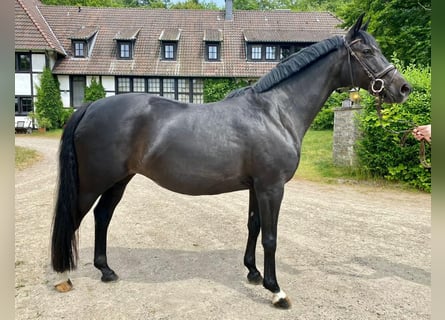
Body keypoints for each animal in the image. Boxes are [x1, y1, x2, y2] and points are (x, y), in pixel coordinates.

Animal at [51, 14, 410, 308]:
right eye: (367, 51)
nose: (403, 88)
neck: (275, 112)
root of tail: (91, 107)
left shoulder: (256, 187)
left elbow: (253, 226)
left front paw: (252, 273)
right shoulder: (271, 187)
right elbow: (270, 237)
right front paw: (276, 290)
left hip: (119, 180)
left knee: (102, 217)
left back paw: (106, 270)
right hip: (93, 182)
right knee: (75, 219)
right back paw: (62, 276)